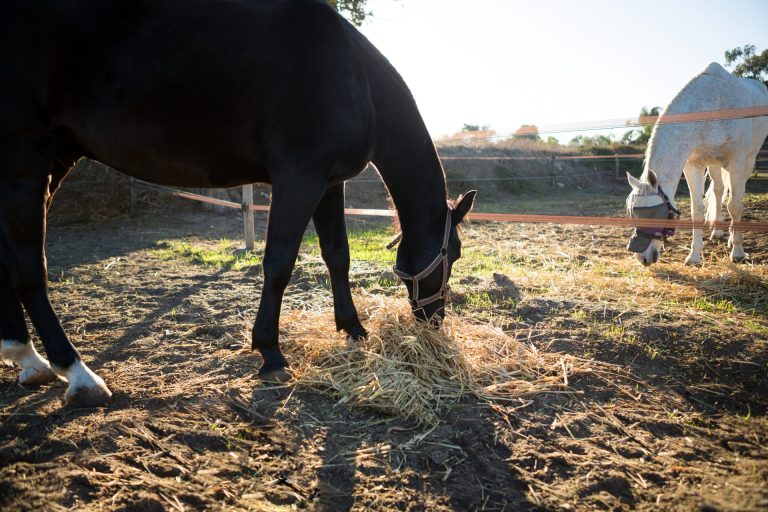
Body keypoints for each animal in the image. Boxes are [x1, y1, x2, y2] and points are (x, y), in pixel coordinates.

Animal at [0, 0, 476, 407]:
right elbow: (279, 263)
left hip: (54, 155)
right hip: (26, 154)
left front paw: (353, 328)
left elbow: (336, 255)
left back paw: (27, 359)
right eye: (453, 253)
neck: (352, 74)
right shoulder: (298, 179)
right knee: (29, 268)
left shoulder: (328, 184)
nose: (433, 319)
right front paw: (270, 353)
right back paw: (77, 374)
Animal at [625, 62, 768, 266]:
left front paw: (738, 253)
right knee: (718, 190)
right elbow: (697, 210)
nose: (642, 258)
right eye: (634, 213)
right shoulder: (693, 166)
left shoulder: (737, 162)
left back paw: (732, 239)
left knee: (735, 196)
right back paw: (717, 231)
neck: (712, 106)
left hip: (748, 161)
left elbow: (734, 206)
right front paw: (693, 256)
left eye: (654, 213)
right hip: (714, 164)